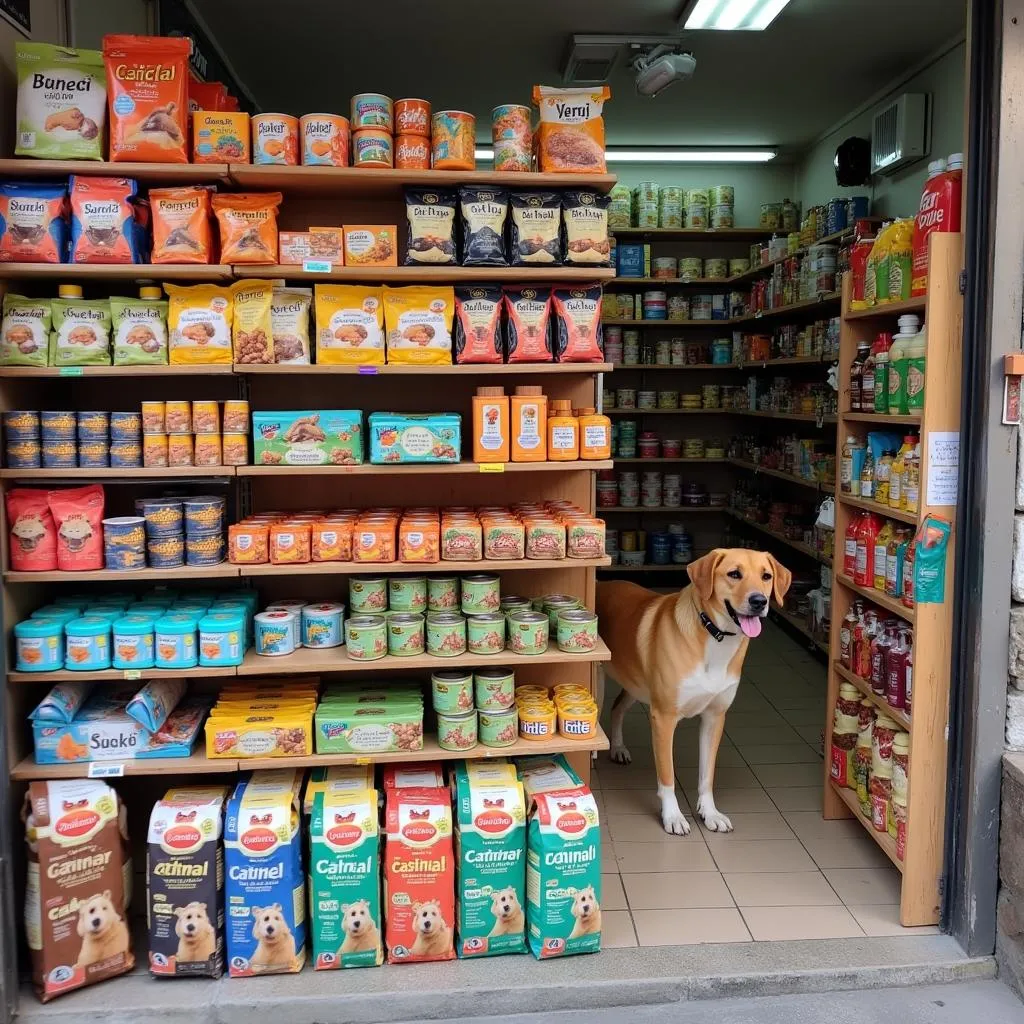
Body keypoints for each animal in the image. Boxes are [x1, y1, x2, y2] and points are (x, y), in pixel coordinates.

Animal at [593, 548, 790, 835]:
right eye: (734, 574)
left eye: (766, 576)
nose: (759, 601)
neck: (715, 636)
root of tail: (600, 584)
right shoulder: (663, 718)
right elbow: (667, 777)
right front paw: (673, 816)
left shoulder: (714, 718)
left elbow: (707, 775)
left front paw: (710, 812)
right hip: (600, 683)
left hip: (636, 683)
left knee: (617, 707)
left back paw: (617, 747)